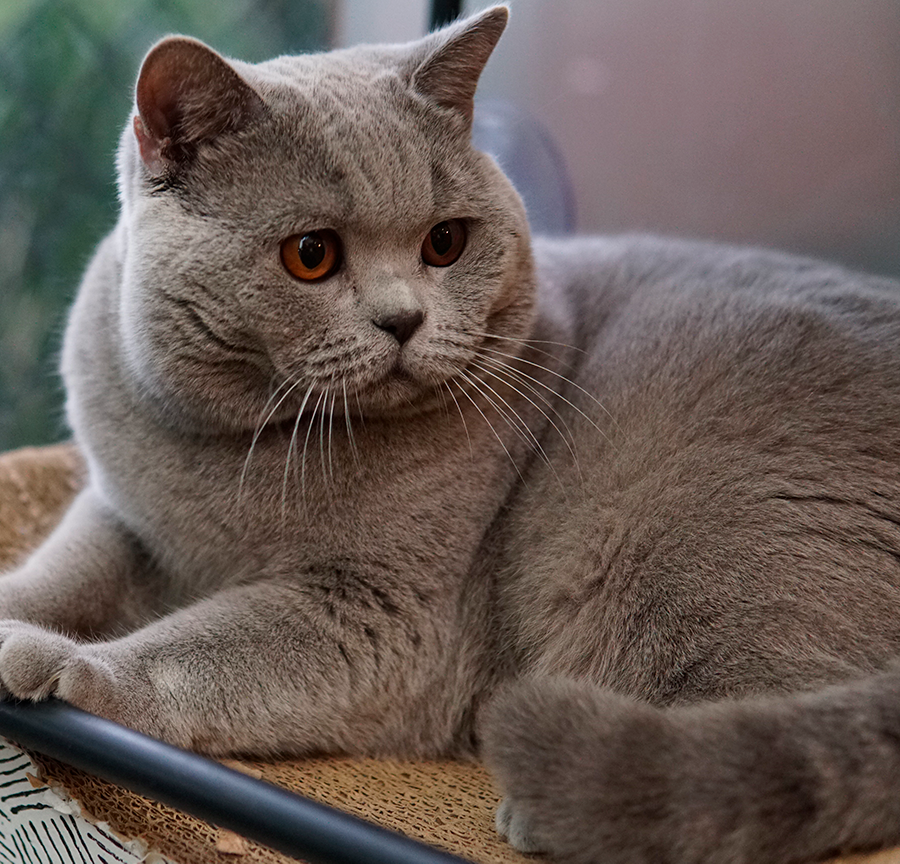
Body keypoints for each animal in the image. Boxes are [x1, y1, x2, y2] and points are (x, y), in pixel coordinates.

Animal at [1, 6, 900, 864]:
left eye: (445, 241)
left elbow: (197, 647)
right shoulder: (120, 511)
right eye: (310, 254)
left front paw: (59, 664)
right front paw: (18, 614)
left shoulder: (383, 616)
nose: (403, 320)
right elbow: (64, 569)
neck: (247, 447)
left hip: (697, 529)